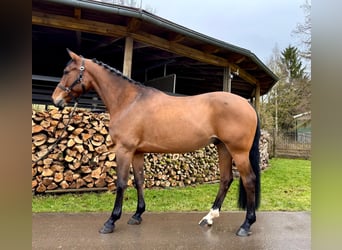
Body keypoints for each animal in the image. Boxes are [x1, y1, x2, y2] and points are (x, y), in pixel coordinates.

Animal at [50, 48, 260, 236]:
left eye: (67, 71)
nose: (55, 100)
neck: (129, 101)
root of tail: (247, 104)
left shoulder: (124, 150)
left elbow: (121, 183)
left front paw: (111, 221)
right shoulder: (137, 152)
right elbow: (139, 181)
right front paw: (137, 214)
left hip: (238, 151)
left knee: (249, 180)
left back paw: (246, 225)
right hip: (223, 147)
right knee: (225, 179)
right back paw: (209, 218)